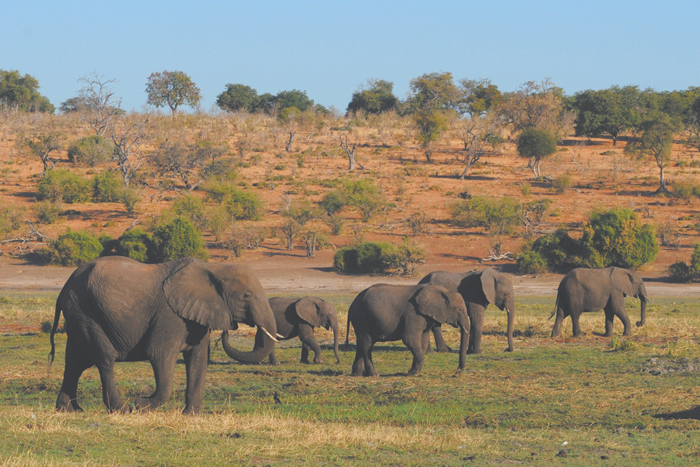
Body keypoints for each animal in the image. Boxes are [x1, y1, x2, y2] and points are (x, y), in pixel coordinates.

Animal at [47, 258, 278, 414]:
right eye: (247, 296)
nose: (230, 327)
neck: (214, 267)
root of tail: (64, 287)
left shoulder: (196, 315)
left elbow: (198, 361)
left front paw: (191, 416)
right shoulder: (170, 316)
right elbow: (160, 355)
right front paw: (141, 405)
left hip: (78, 315)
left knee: (75, 362)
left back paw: (69, 410)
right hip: (85, 312)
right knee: (104, 358)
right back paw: (122, 409)